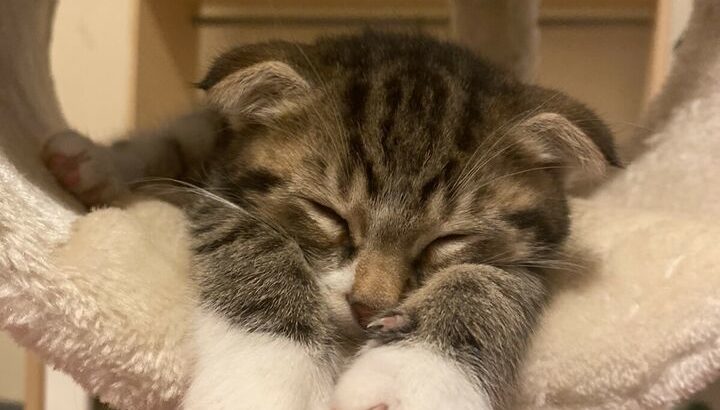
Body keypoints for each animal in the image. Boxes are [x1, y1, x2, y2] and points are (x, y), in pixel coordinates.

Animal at [43, 32, 620, 410]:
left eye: (447, 239)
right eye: (329, 215)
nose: (368, 308)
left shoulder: (537, 254)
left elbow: (490, 285)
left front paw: (411, 378)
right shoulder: (221, 193)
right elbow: (252, 245)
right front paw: (268, 380)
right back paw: (94, 165)